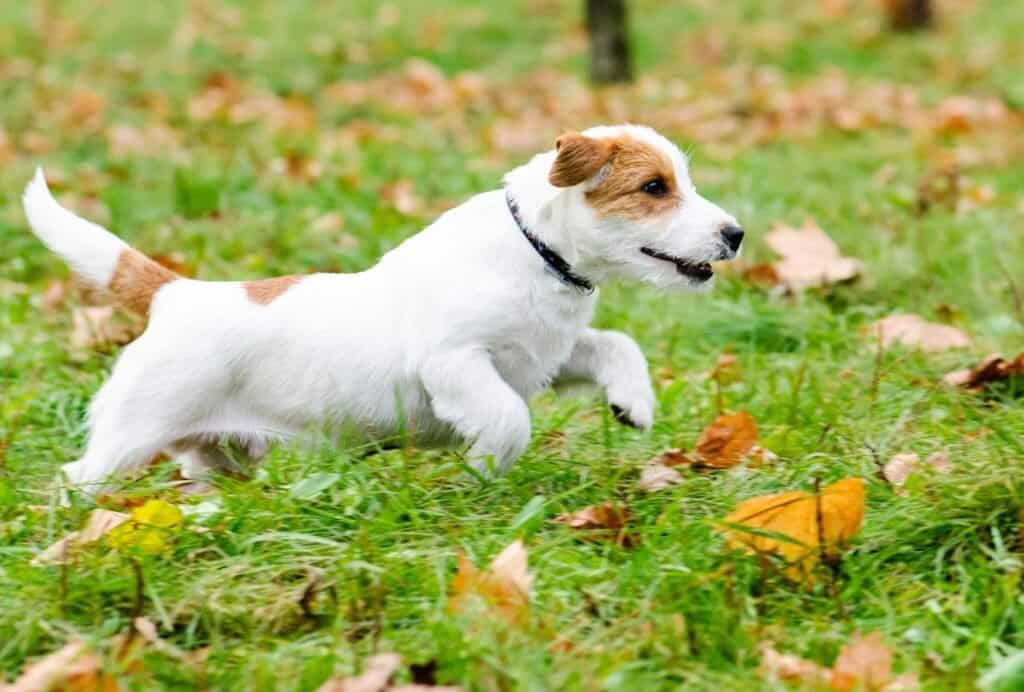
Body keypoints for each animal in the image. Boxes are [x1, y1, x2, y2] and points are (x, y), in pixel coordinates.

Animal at [24, 125, 741, 491]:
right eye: (655, 187)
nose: (735, 234)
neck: (536, 252)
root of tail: (176, 293)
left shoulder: (545, 355)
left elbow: (616, 344)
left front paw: (632, 402)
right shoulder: (456, 362)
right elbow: (508, 419)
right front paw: (483, 472)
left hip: (214, 446)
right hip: (128, 437)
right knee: (78, 476)